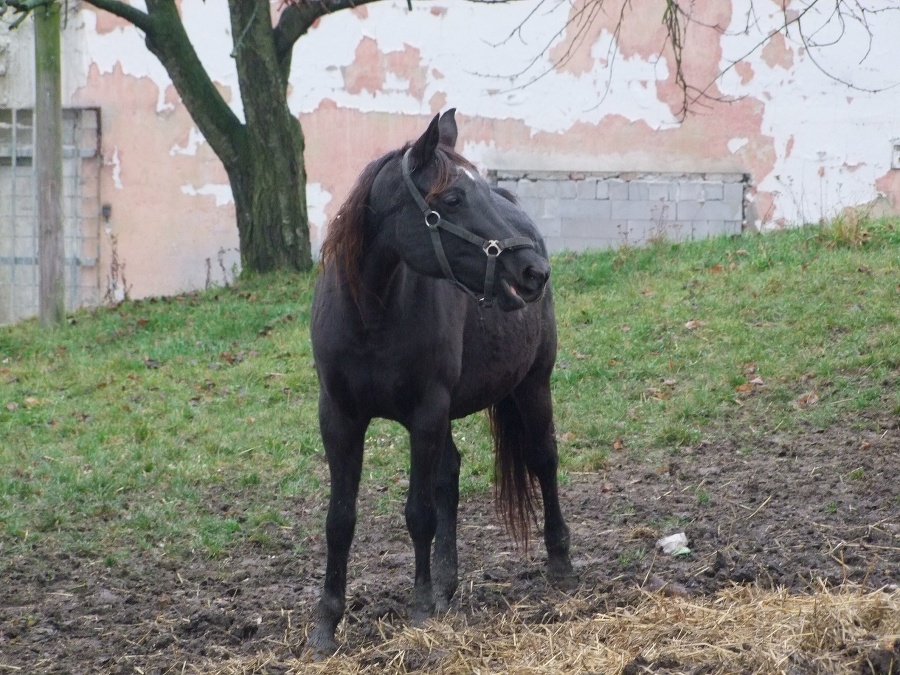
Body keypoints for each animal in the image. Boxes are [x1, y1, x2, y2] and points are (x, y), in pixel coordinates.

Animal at [310, 109, 572, 656]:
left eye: (479, 190)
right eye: (451, 199)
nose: (533, 271)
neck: (371, 315)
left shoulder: (425, 415)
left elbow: (419, 514)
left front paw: (418, 609)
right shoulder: (339, 419)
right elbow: (339, 520)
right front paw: (326, 624)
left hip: (532, 386)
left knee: (544, 460)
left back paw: (560, 562)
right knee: (450, 473)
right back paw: (447, 586)